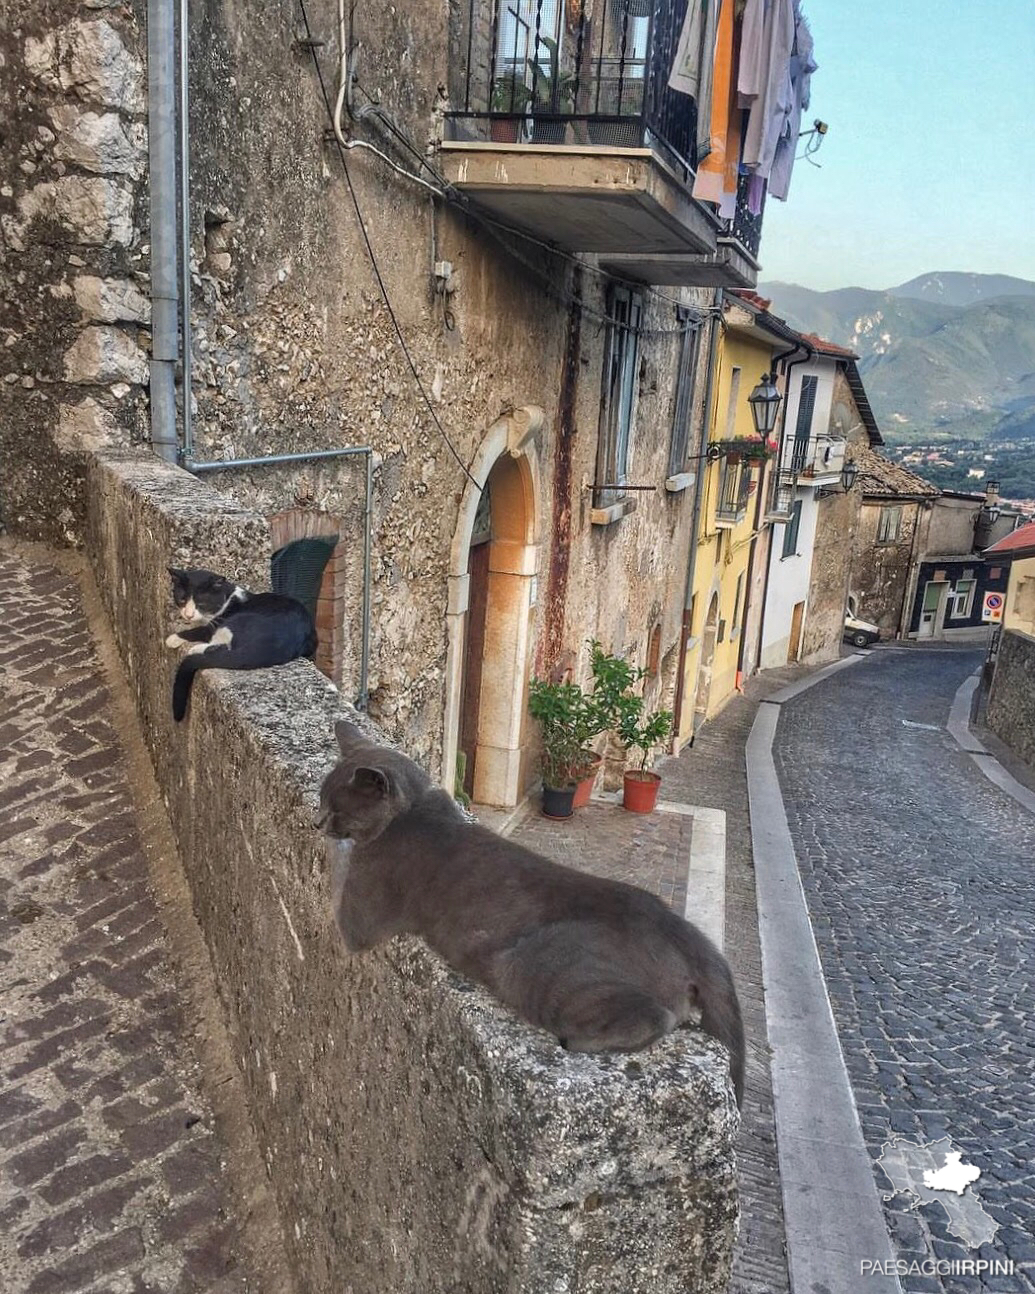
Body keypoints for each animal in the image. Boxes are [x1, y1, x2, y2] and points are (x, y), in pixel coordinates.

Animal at [165, 566, 316, 724]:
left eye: (201, 604)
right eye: (182, 599)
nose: (188, 615)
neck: (228, 598)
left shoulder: (216, 624)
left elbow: (200, 630)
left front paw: (173, 638)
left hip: (235, 621)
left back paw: (195, 649)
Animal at [320, 719, 745, 1102]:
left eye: (337, 809)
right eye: (322, 800)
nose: (317, 821)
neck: (416, 810)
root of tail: (684, 932)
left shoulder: (359, 916)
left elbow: (339, 873)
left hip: (528, 966)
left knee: (654, 1016)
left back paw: (584, 1041)